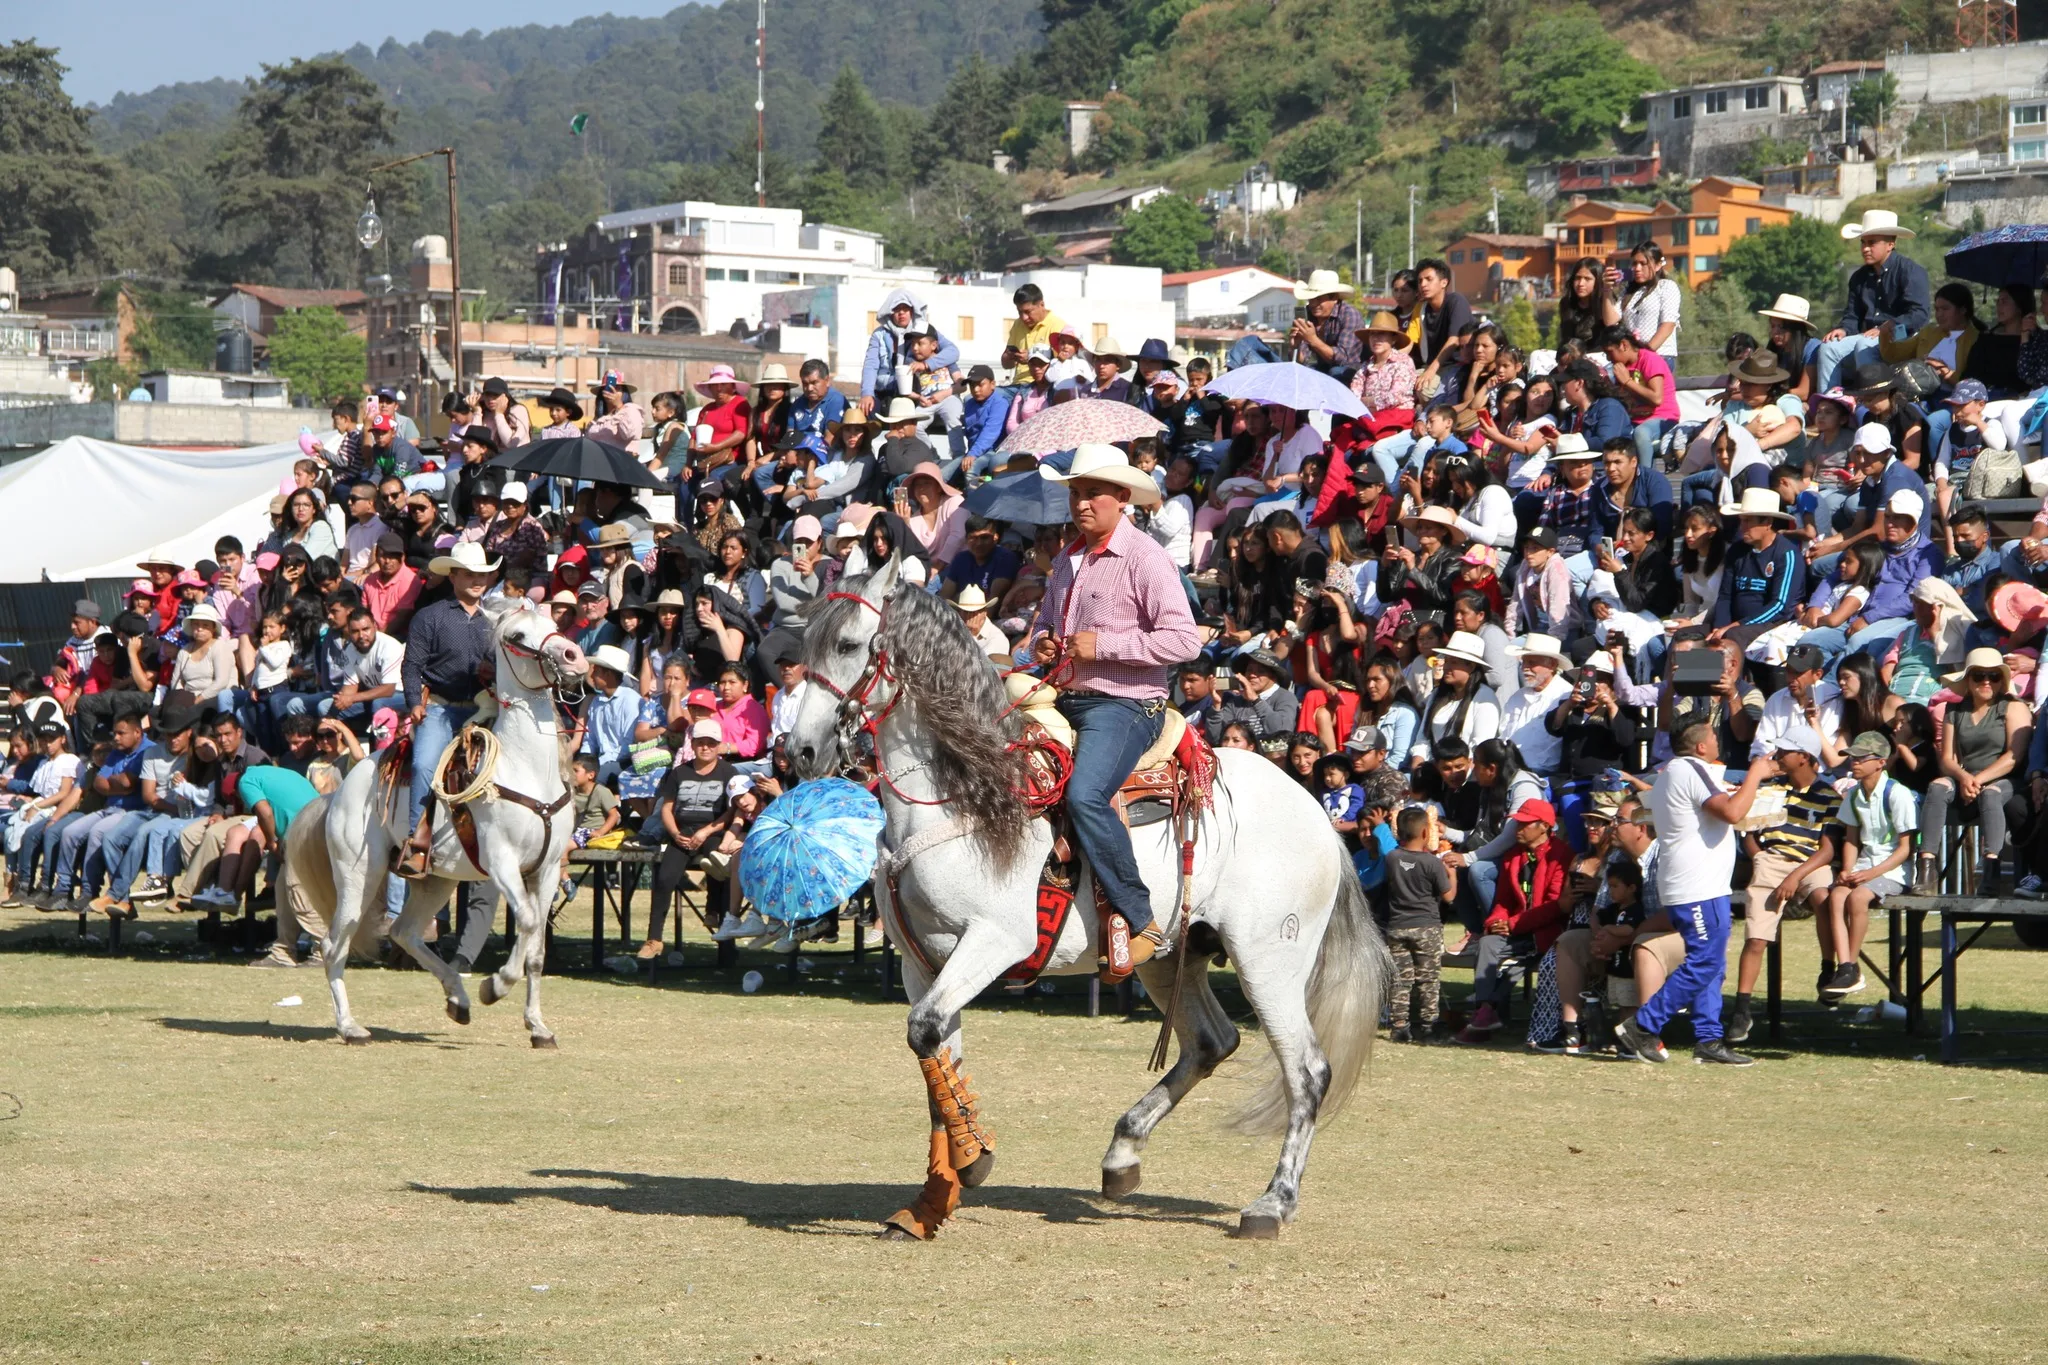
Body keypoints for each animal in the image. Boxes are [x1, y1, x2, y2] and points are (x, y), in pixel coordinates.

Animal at [311, 593, 589, 1047]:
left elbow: (536, 951)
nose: (574, 656)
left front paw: (538, 1026)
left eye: (552, 624)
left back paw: (457, 999)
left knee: (404, 931)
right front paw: (495, 986)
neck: (526, 769)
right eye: (517, 636)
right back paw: (350, 1027)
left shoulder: (546, 869)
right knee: (334, 944)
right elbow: (529, 922)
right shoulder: (502, 862)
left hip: (435, 881)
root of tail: (343, 788)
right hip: (358, 875)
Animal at [782, 560, 1392, 1244]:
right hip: (1169, 955)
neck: (970, 797)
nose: (799, 752)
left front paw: (973, 1163)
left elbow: (926, 1034)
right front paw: (931, 1200)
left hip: (1269, 961)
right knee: (1211, 1041)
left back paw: (1272, 1204)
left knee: (1307, 1071)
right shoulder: (923, 963)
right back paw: (1122, 1156)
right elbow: (937, 1053)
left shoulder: (994, 941)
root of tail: (1314, 812)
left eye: (848, 645)